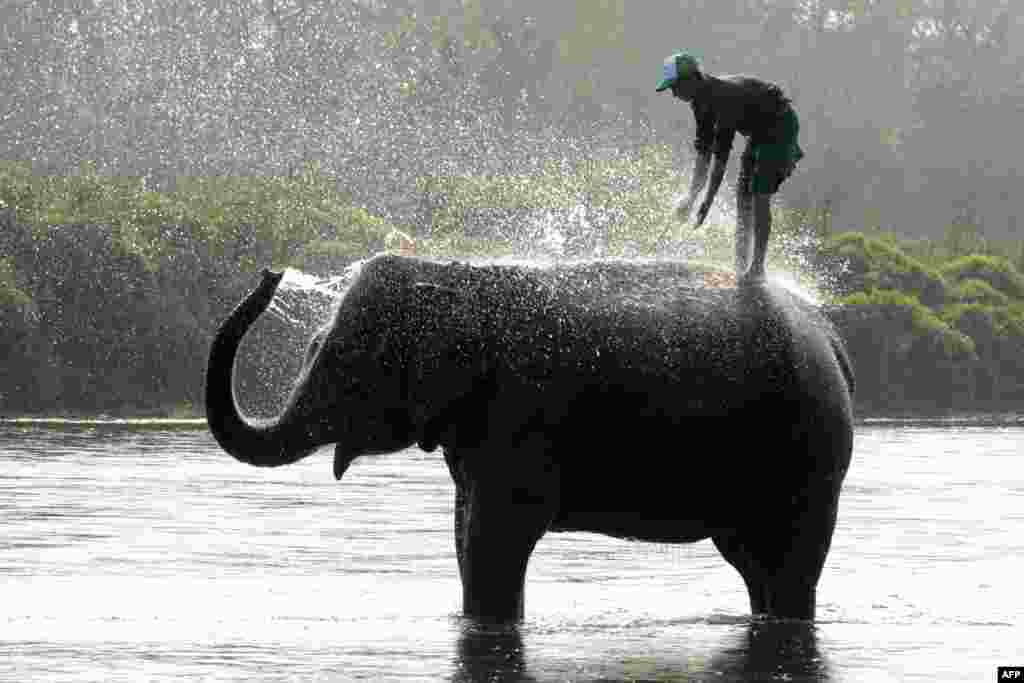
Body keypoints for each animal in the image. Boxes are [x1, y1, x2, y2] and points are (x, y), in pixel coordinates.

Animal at [203, 254, 851, 626]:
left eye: (336, 357)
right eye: (316, 347)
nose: (270, 273)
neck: (460, 273)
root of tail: (831, 337)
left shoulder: (521, 412)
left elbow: (498, 534)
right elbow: (465, 530)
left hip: (807, 455)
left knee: (788, 563)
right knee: (755, 564)